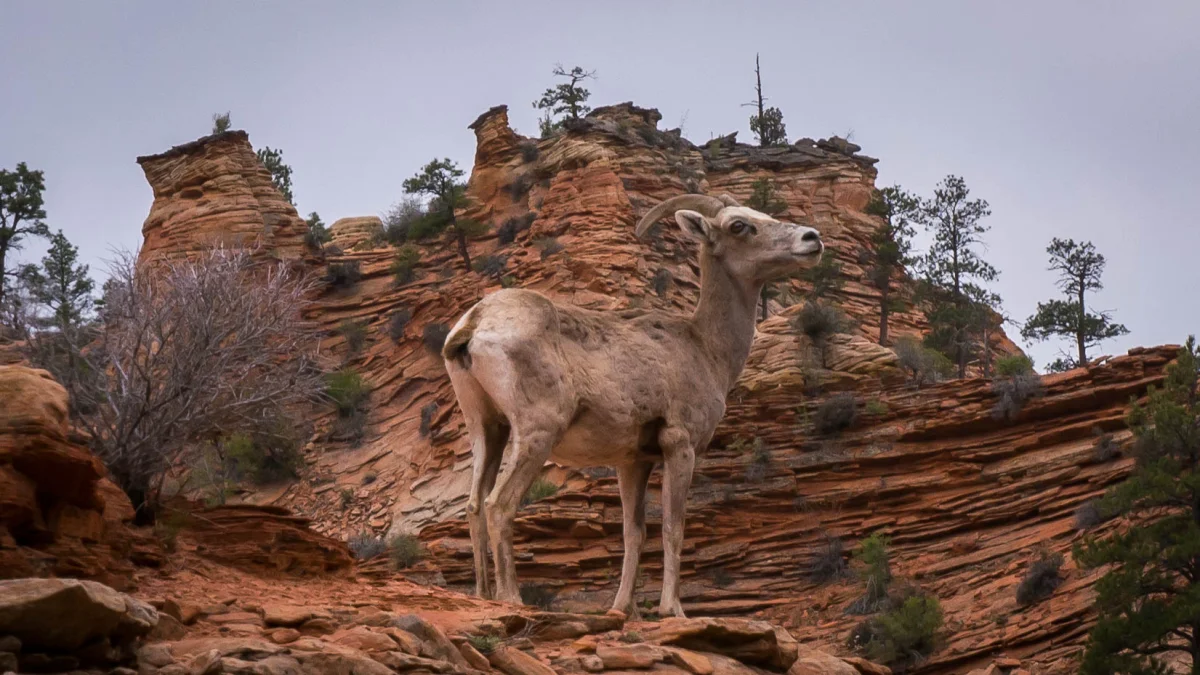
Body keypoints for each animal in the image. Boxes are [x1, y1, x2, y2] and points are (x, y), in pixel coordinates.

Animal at [441, 193, 824, 617]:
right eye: (739, 226)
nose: (812, 239)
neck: (707, 349)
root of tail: (475, 324)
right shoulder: (679, 446)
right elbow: (673, 528)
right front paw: (672, 610)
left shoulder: (631, 462)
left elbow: (633, 533)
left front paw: (624, 609)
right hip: (536, 433)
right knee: (498, 504)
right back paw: (512, 598)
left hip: (487, 428)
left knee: (474, 505)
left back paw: (482, 595)